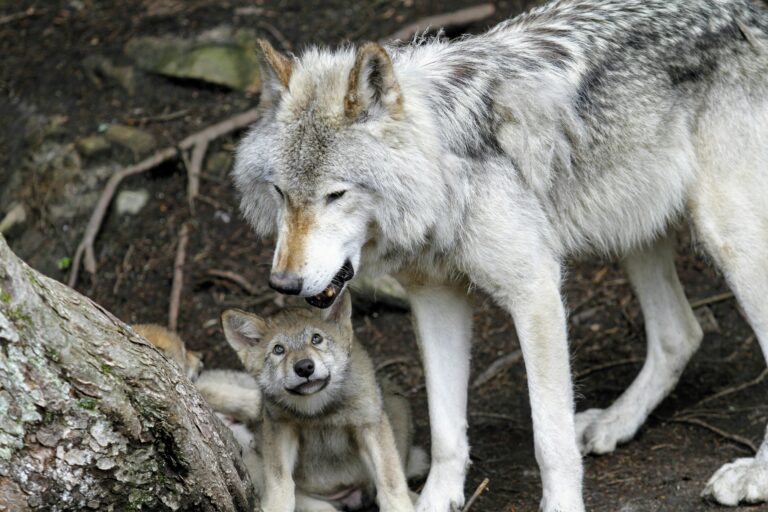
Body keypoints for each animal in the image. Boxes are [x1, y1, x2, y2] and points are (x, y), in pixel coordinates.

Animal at [218, 292, 427, 512]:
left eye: (316, 339)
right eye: (278, 350)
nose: (304, 367)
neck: (318, 410)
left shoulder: (369, 423)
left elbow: (390, 479)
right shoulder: (279, 427)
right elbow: (280, 481)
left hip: (396, 405)